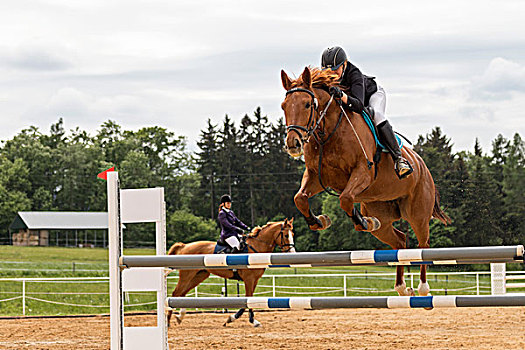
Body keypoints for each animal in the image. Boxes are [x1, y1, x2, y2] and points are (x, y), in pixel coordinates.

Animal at [278, 67, 450, 296]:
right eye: (284, 106)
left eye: (307, 104)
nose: (293, 144)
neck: (328, 133)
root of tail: (423, 165)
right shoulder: (316, 176)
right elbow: (300, 198)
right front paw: (319, 221)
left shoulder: (363, 172)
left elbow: (345, 199)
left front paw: (361, 222)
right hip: (381, 214)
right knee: (399, 240)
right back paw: (402, 288)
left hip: (418, 213)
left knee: (423, 245)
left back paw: (422, 288)